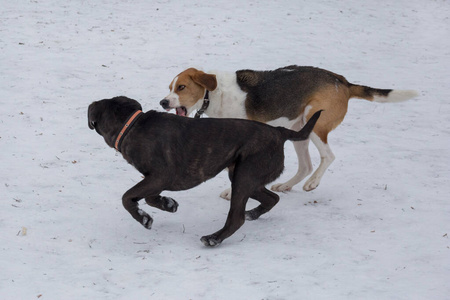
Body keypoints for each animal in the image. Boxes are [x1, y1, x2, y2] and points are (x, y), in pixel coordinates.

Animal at [88, 96, 320, 246]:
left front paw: (143, 218)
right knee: (272, 198)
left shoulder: (160, 176)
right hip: (245, 176)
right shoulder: (154, 180)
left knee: (237, 218)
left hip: (244, 176)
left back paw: (214, 238)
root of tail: (279, 132)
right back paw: (253, 213)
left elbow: (127, 197)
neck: (132, 125)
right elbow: (149, 197)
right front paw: (168, 204)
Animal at [160, 65, 416, 197]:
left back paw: (312, 183)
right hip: (299, 131)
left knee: (328, 157)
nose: (163, 102)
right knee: (306, 166)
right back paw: (286, 185)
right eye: (170, 87)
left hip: (316, 124)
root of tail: (342, 81)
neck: (214, 94)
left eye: (181, 87)